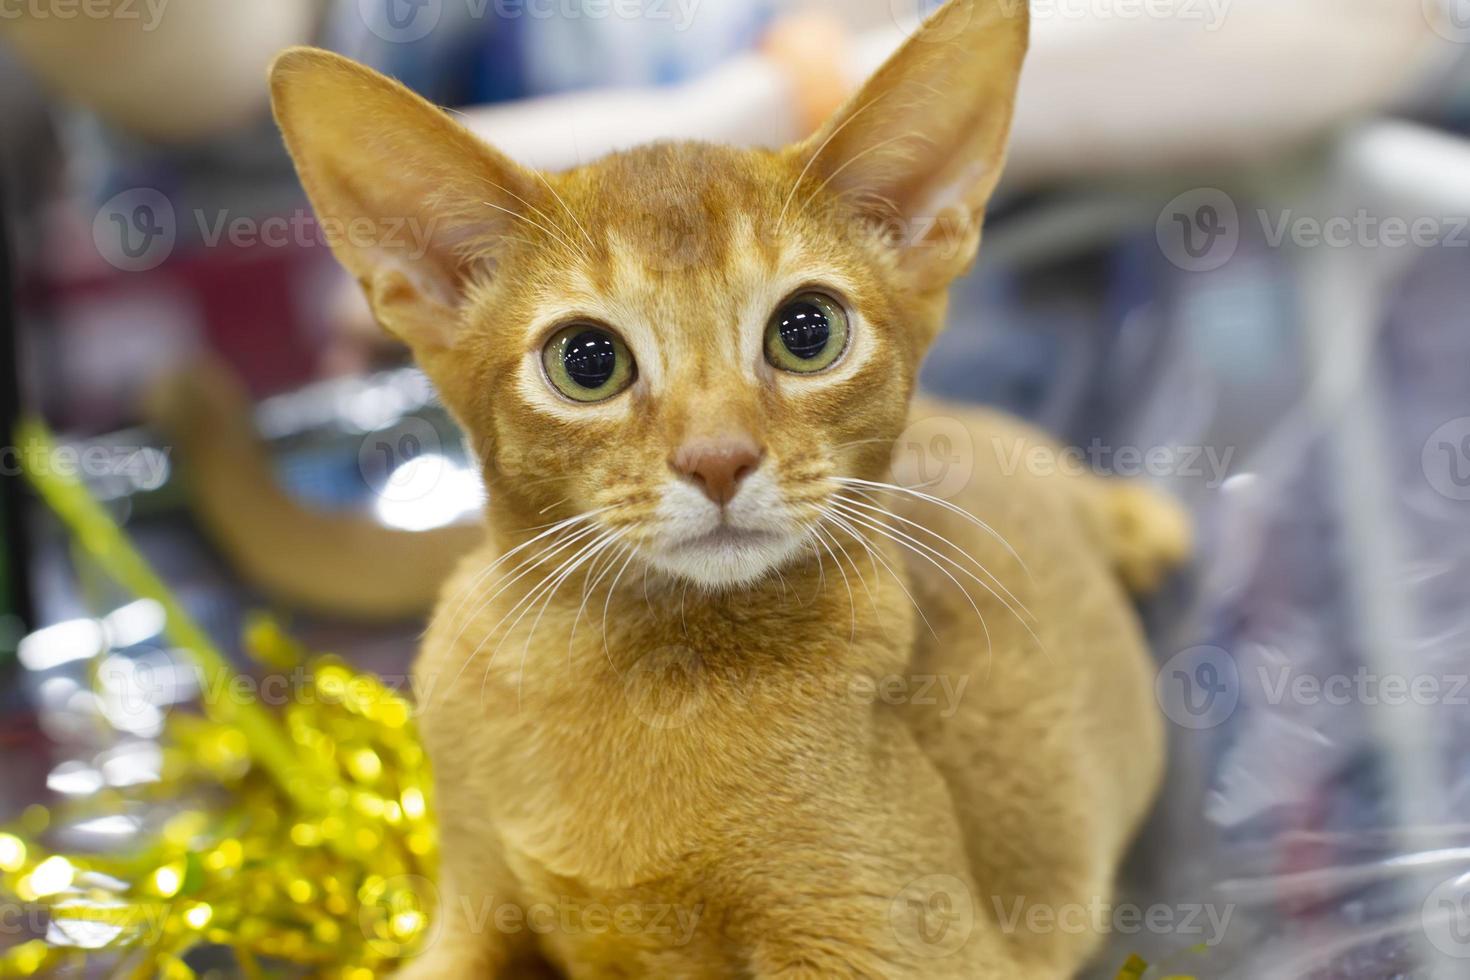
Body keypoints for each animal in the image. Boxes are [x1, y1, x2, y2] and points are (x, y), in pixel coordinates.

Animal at [267, 1, 1181, 975]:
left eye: (808, 331)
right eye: (586, 360)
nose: (718, 459)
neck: (619, 667)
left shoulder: (901, 949)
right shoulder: (468, 907)